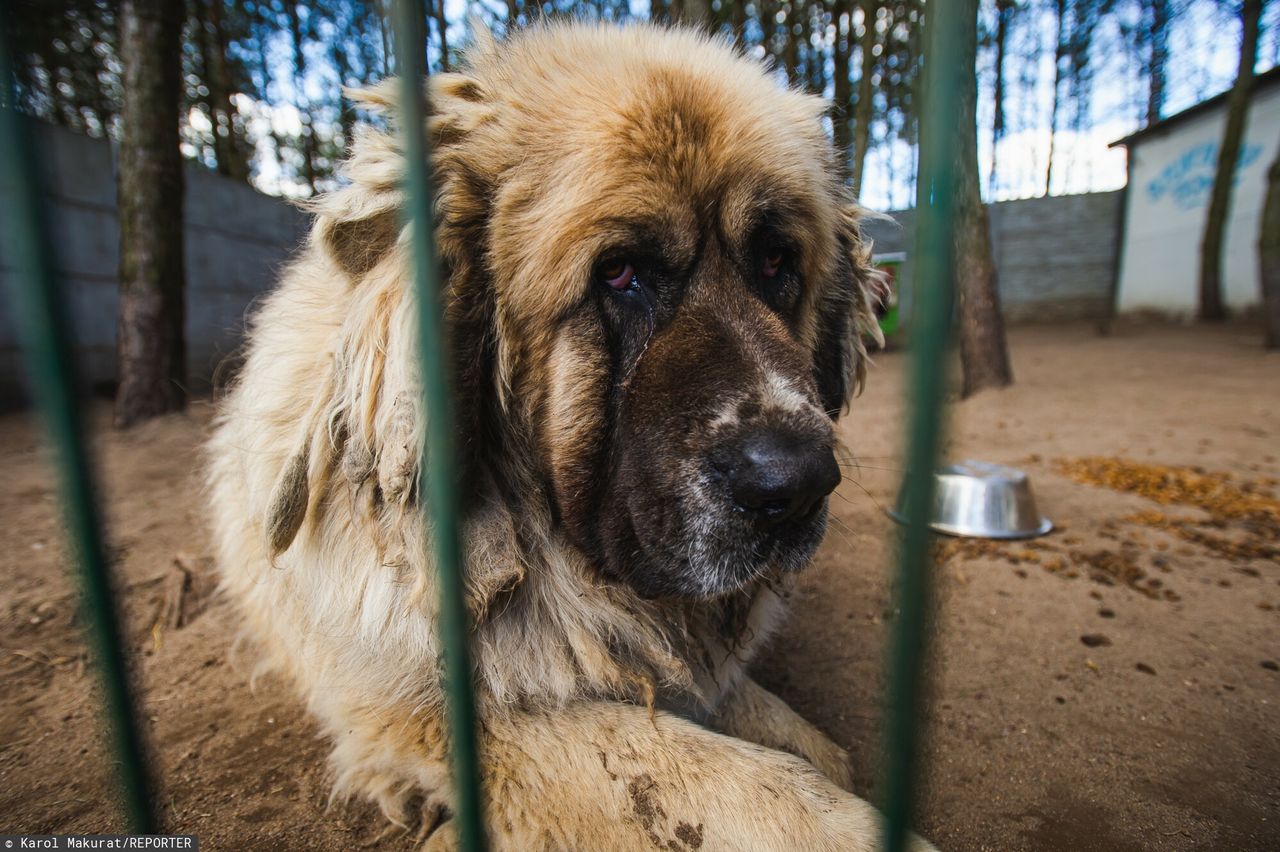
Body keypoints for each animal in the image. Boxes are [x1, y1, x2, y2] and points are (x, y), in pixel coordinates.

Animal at [212, 23, 931, 844]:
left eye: (778, 261)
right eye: (618, 274)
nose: (800, 483)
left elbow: (791, 735)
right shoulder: (452, 717)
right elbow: (726, 780)